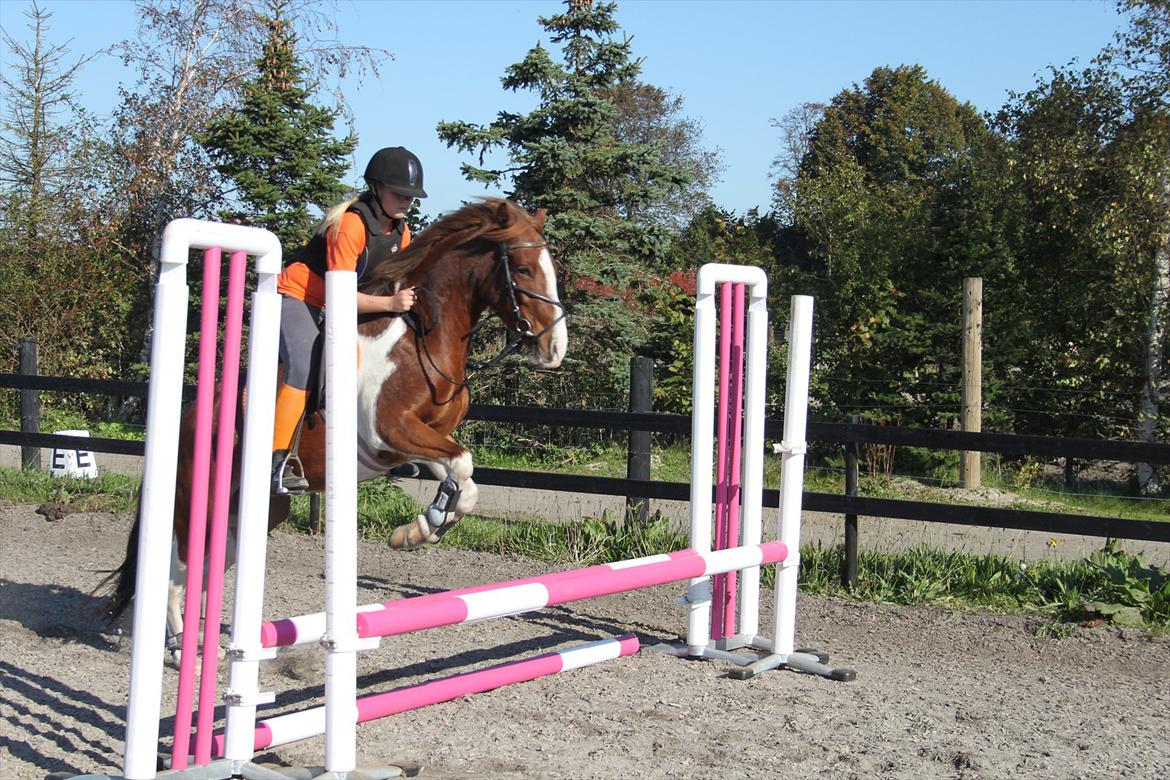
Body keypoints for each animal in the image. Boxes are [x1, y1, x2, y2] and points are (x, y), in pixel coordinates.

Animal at [102, 196, 568, 659]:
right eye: (523, 269)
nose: (555, 349)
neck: (420, 336)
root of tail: (192, 414)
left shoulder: (412, 443)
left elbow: (461, 477)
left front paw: (421, 528)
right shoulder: (388, 430)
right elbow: (464, 466)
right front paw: (426, 524)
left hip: (258, 511)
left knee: (203, 565)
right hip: (204, 496)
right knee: (178, 563)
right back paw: (179, 644)